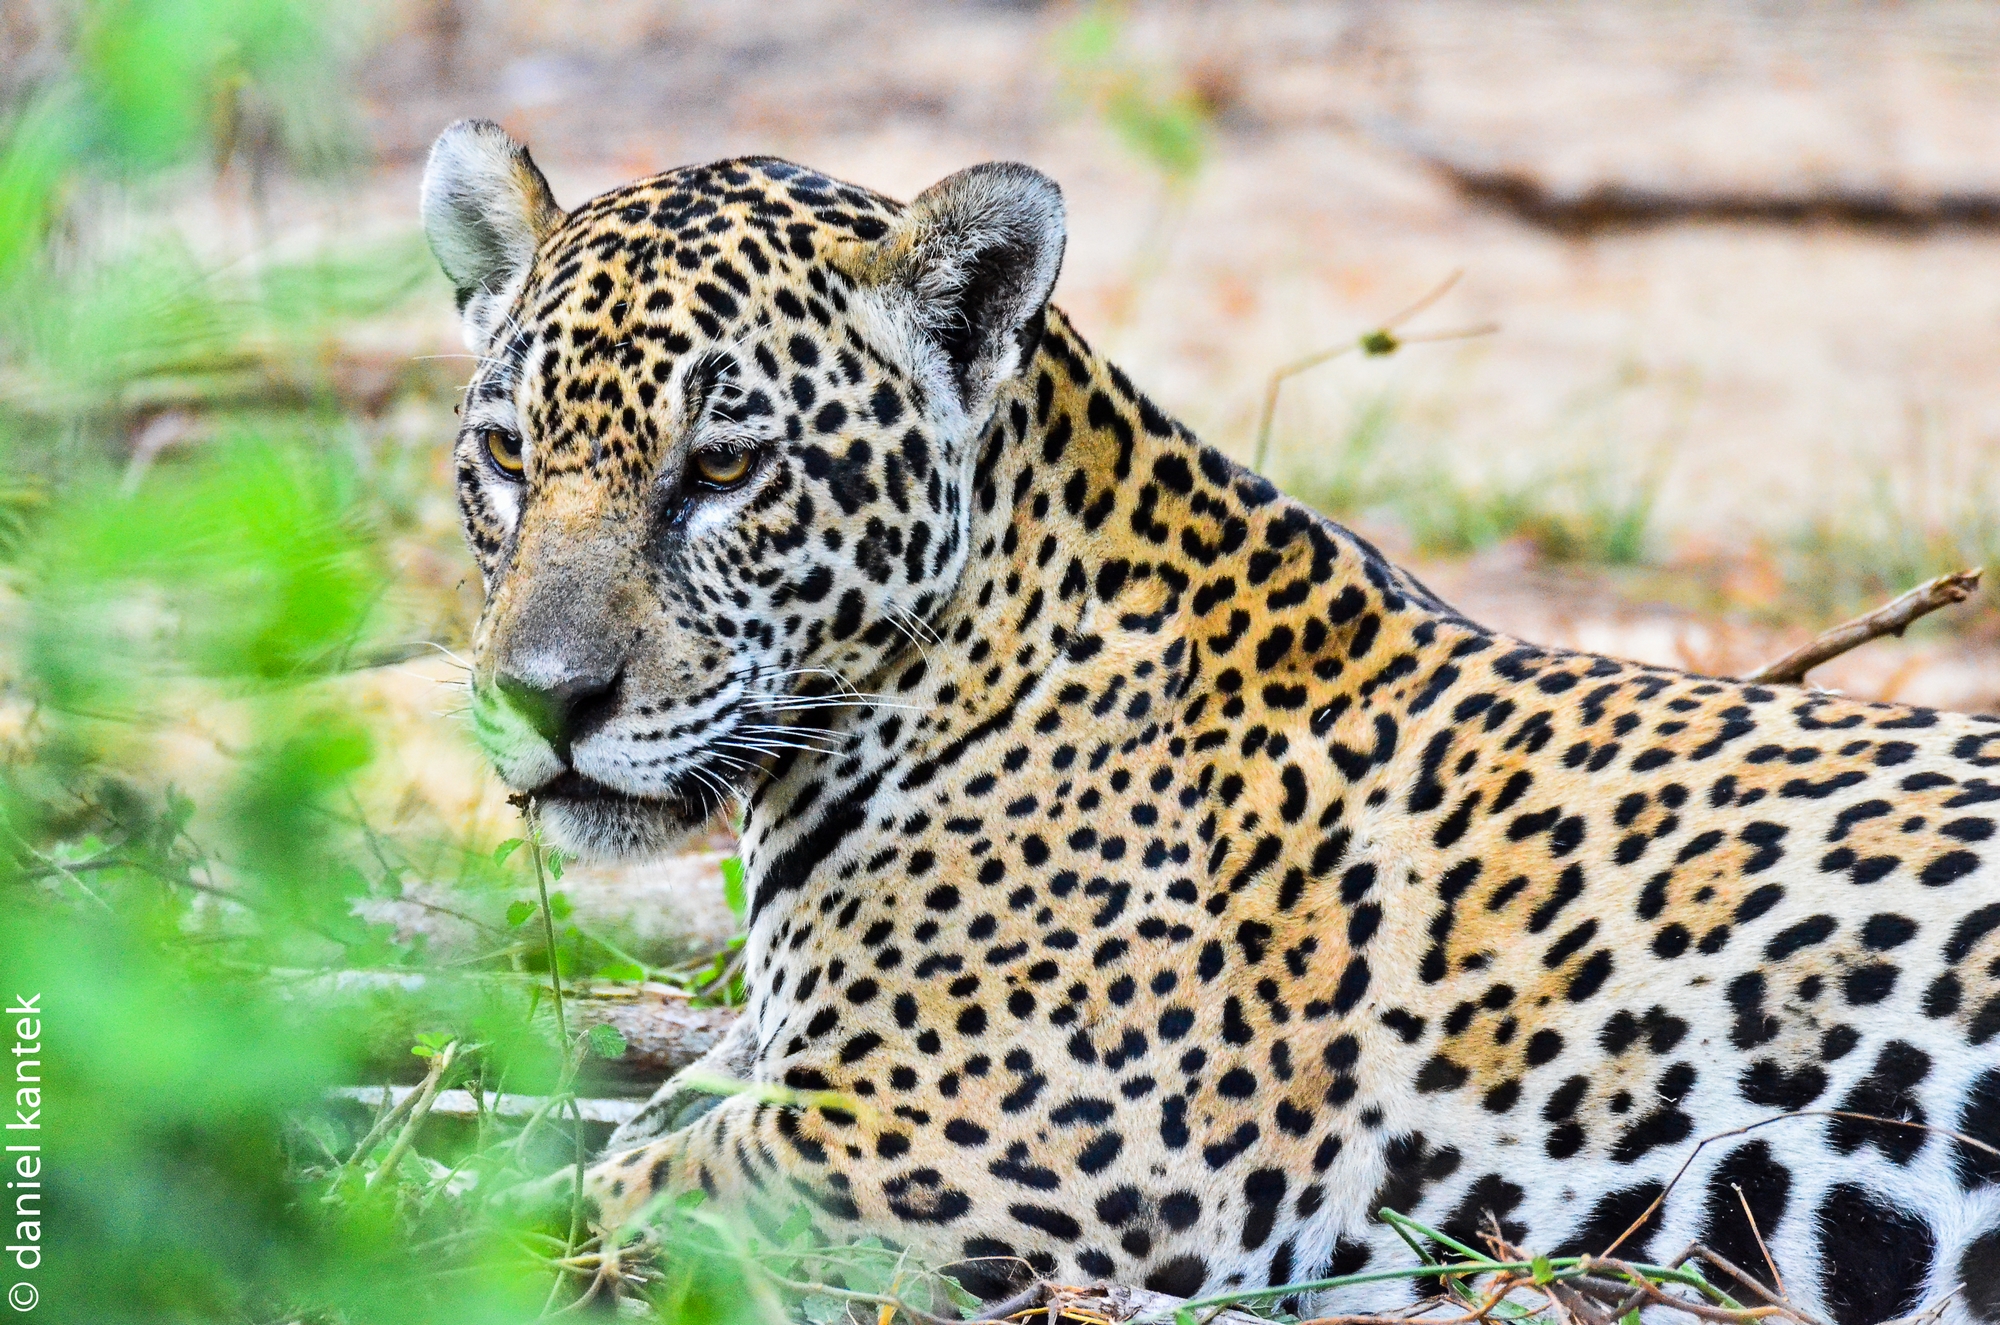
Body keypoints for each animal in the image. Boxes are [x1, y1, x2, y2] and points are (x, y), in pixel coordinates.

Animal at [421, 118, 2000, 1321]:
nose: (543, 696)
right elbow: (552, 1140)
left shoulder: (979, 1141)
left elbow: (589, 1199)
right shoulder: (764, 1077)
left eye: (726, 467)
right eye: (504, 452)